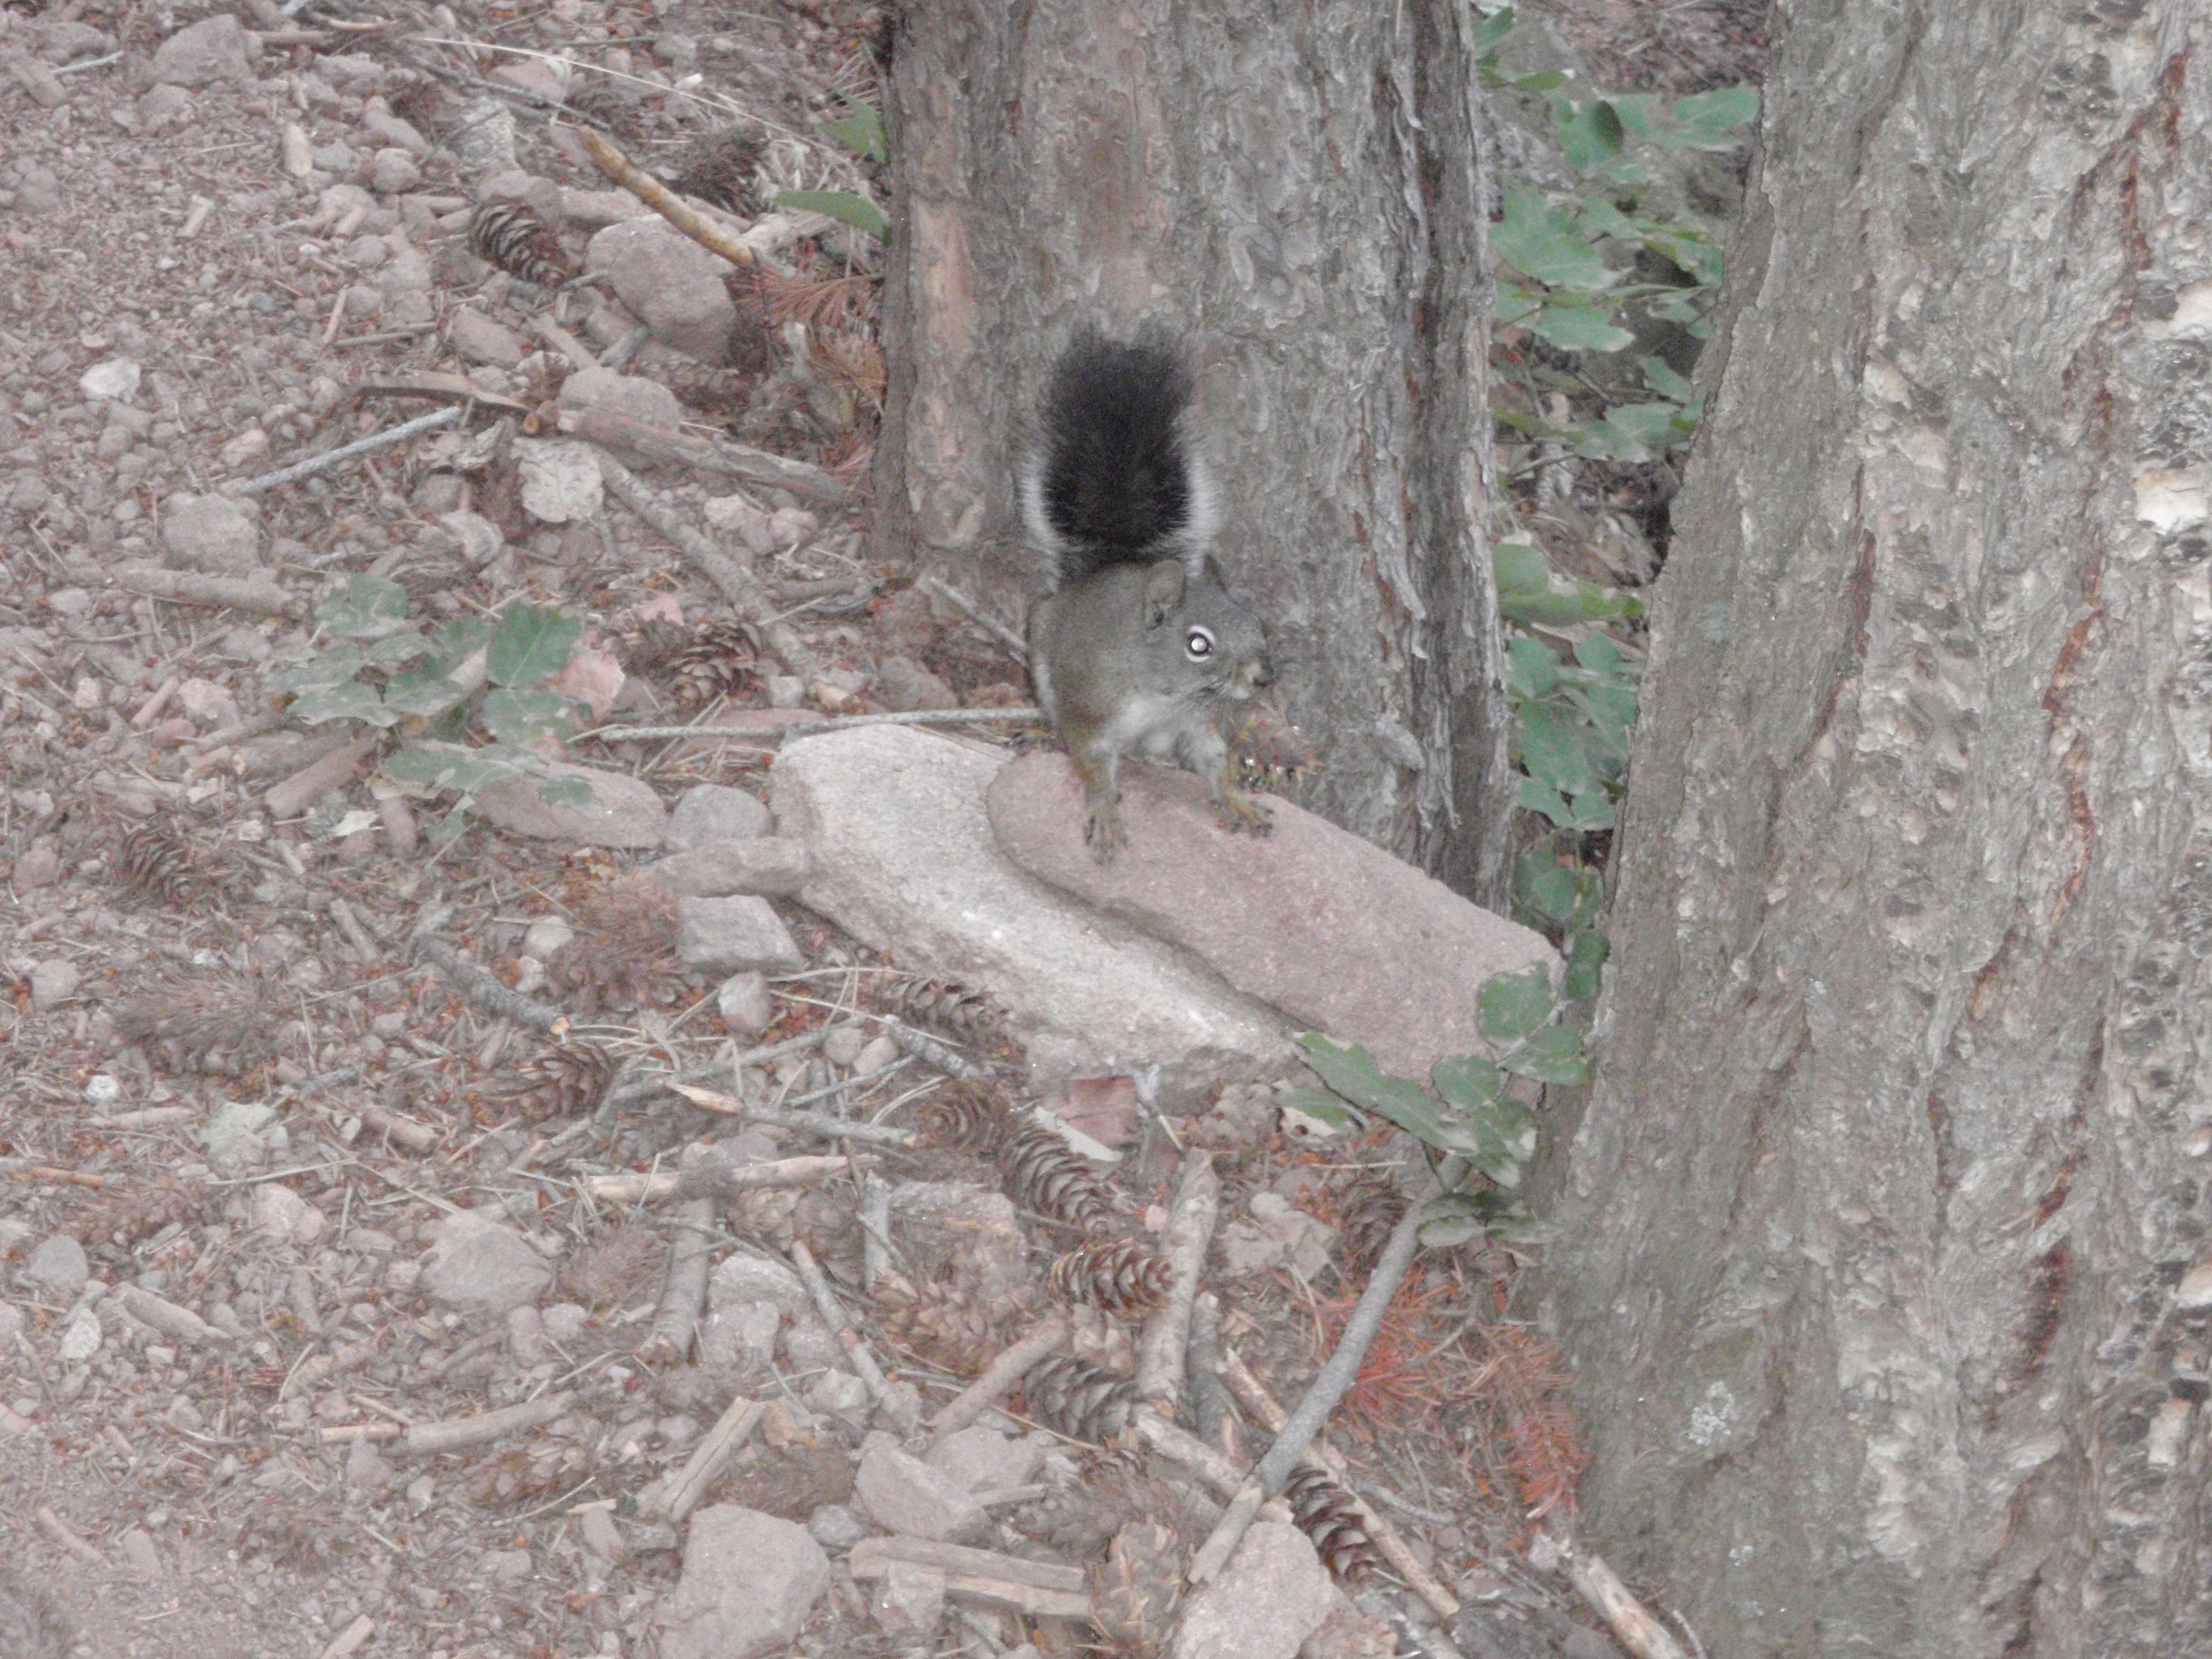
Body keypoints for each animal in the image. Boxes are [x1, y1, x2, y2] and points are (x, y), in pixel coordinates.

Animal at [1022, 332, 1276, 861]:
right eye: (1198, 644)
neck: (1167, 695)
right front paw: (1103, 811)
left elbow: (1214, 760)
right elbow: (1091, 761)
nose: (1265, 677)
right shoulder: (1091, 705)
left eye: (1256, 622)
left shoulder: (1196, 725)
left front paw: (1237, 800)